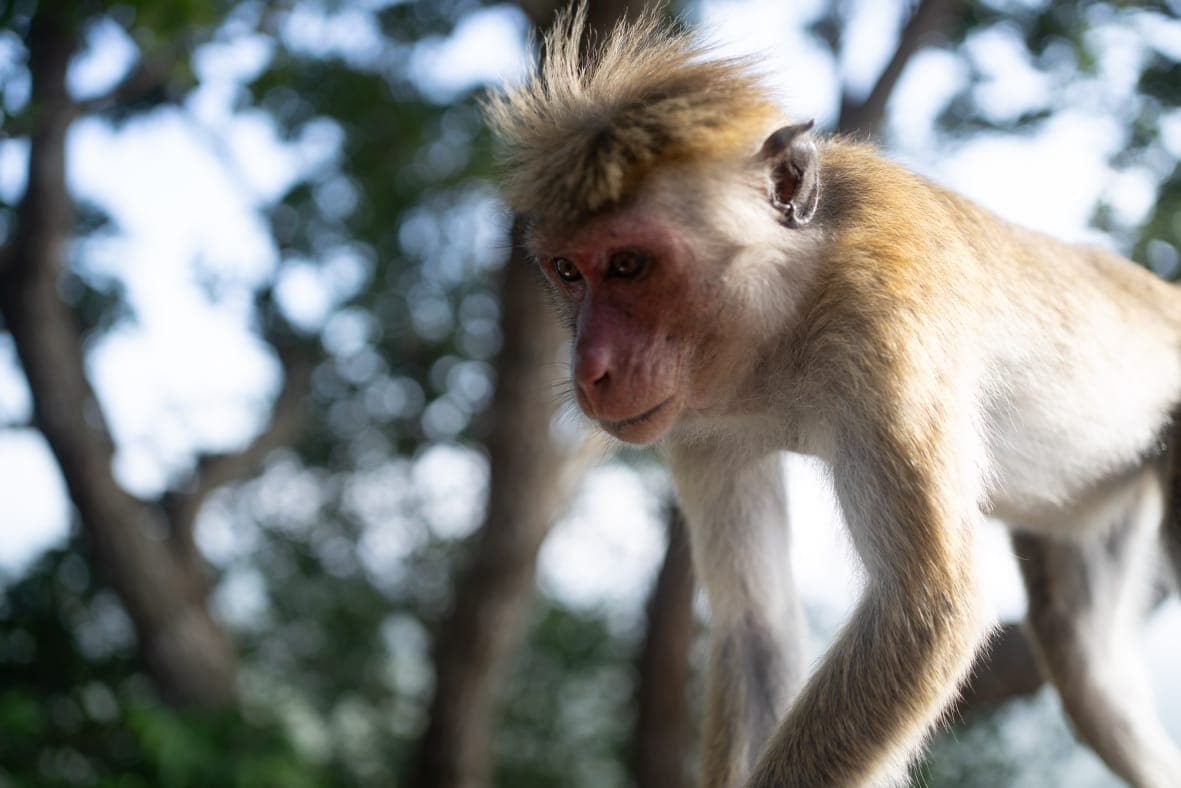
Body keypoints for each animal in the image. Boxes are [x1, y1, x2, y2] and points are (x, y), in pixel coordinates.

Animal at [485, 7, 1181, 787]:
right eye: (568, 272)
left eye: (629, 265)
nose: (590, 369)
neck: (789, 304)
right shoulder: (698, 421)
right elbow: (756, 627)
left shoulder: (880, 320)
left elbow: (923, 609)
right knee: (1086, 666)